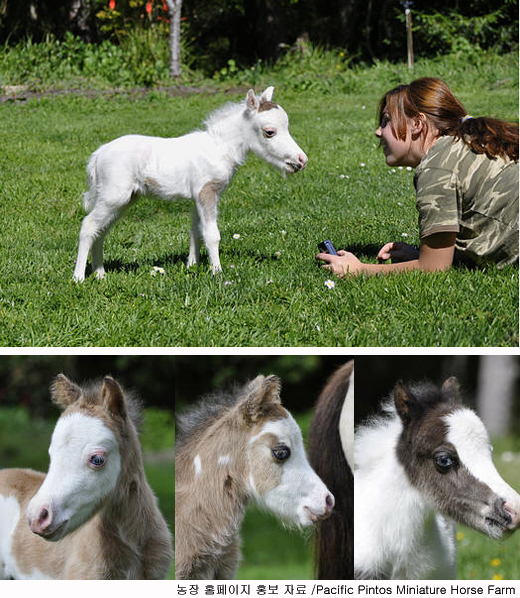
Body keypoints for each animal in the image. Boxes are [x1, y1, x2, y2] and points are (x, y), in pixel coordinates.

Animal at [75, 85, 306, 282]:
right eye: (270, 132)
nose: (301, 160)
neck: (219, 148)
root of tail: (99, 154)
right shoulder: (207, 191)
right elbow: (212, 234)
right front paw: (217, 272)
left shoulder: (197, 196)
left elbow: (196, 230)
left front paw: (192, 266)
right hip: (114, 196)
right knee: (88, 225)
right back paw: (78, 277)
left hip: (124, 200)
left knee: (101, 230)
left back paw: (100, 274)